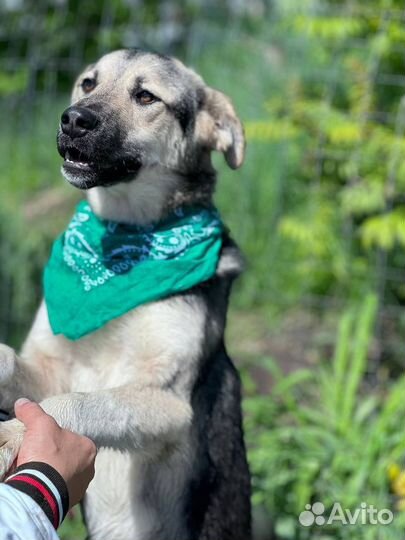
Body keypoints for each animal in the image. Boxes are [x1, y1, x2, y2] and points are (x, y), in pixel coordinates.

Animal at [0, 49, 249, 540]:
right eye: (88, 83)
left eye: (146, 96)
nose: (73, 120)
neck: (123, 246)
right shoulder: (49, 371)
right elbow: (12, 363)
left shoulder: (170, 405)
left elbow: (71, 405)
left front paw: (8, 438)